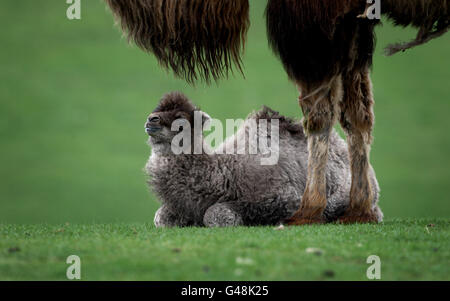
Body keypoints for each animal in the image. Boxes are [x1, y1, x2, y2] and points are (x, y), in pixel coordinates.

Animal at [145, 92, 384, 226]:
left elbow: (215, 214)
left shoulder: (282, 198)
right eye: (158, 109)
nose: (151, 120)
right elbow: (160, 218)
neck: (221, 174)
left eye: (180, 120)